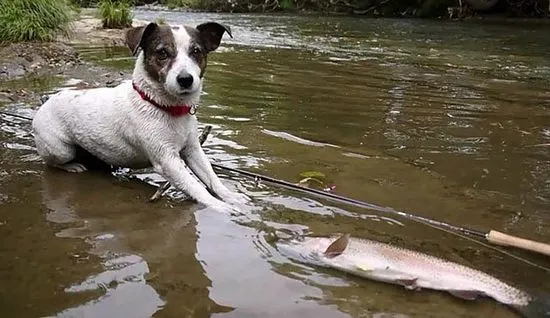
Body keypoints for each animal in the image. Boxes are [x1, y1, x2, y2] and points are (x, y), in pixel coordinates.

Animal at [31, 21, 248, 212]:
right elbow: (194, 186)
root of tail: (46, 101)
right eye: (162, 52)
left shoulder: (193, 150)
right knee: (52, 162)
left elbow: (212, 177)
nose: (185, 79)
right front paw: (219, 207)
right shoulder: (167, 160)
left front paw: (231, 197)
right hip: (60, 149)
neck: (163, 107)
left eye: (196, 51)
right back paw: (72, 166)